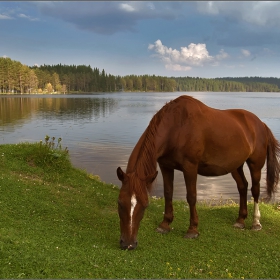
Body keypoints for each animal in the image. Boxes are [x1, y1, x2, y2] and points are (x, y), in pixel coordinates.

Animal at [116, 95, 280, 250]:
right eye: (120, 203)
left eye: (145, 205)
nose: (128, 244)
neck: (176, 127)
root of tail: (261, 124)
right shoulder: (165, 166)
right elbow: (168, 193)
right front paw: (165, 224)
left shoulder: (190, 167)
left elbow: (191, 196)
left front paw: (192, 230)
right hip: (236, 166)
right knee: (242, 186)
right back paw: (240, 220)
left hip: (255, 165)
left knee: (255, 190)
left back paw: (256, 223)